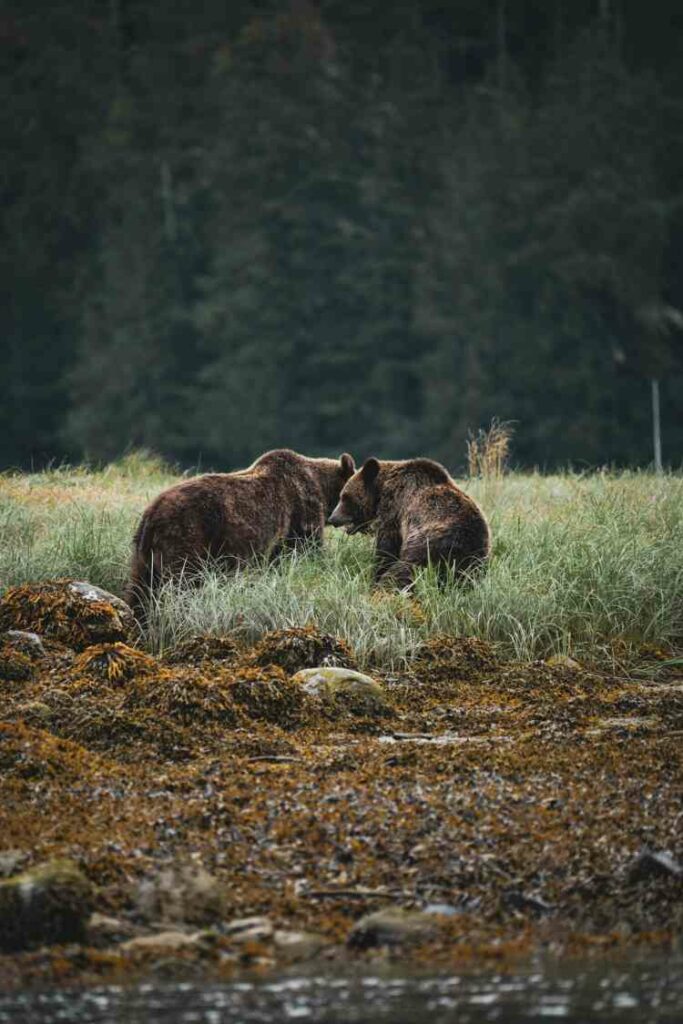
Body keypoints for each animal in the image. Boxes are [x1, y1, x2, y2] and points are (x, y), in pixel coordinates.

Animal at [127, 449, 356, 614]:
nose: (338, 520)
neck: (322, 489)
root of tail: (152, 513)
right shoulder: (301, 511)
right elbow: (307, 550)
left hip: (143, 554)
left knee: (141, 590)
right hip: (188, 535)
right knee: (183, 581)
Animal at [327, 456, 490, 587]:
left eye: (345, 497)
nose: (333, 518)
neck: (380, 492)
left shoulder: (394, 511)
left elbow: (387, 550)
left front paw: (374, 577)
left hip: (430, 547)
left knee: (402, 572)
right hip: (472, 561)